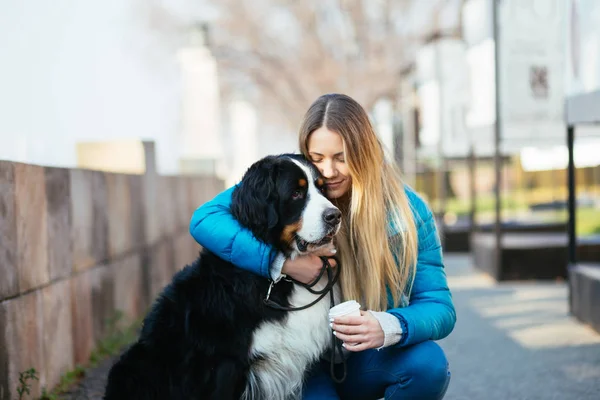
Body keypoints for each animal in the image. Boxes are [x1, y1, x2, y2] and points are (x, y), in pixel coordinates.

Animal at [103, 155, 342, 400]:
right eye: (296, 193)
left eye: (322, 189)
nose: (335, 216)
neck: (280, 281)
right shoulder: (225, 365)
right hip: (136, 367)